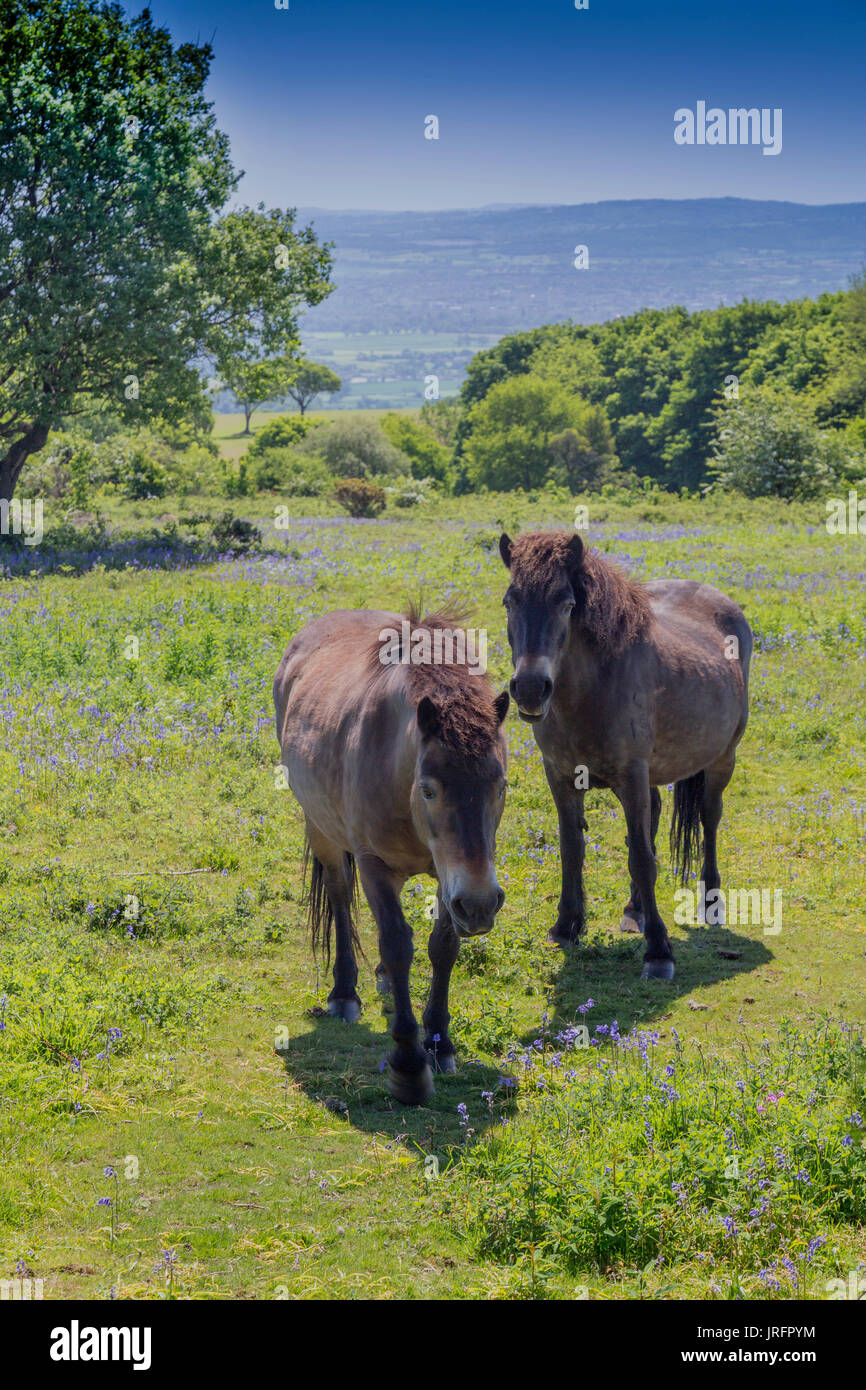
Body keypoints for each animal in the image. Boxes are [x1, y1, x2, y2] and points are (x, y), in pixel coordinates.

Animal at [273, 606, 509, 1104]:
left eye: (500, 786)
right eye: (429, 789)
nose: (481, 905)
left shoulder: (452, 877)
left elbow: (443, 947)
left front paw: (440, 1043)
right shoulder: (374, 866)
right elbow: (398, 943)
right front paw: (408, 1066)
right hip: (323, 831)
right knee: (340, 900)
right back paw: (345, 992)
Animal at [498, 530, 752, 980]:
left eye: (567, 604)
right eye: (510, 602)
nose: (529, 689)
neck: (591, 690)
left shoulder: (631, 775)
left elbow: (641, 858)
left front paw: (659, 951)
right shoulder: (560, 776)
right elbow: (572, 848)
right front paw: (566, 926)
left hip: (721, 760)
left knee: (709, 819)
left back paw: (710, 900)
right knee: (654, 816)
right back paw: (636, 910)